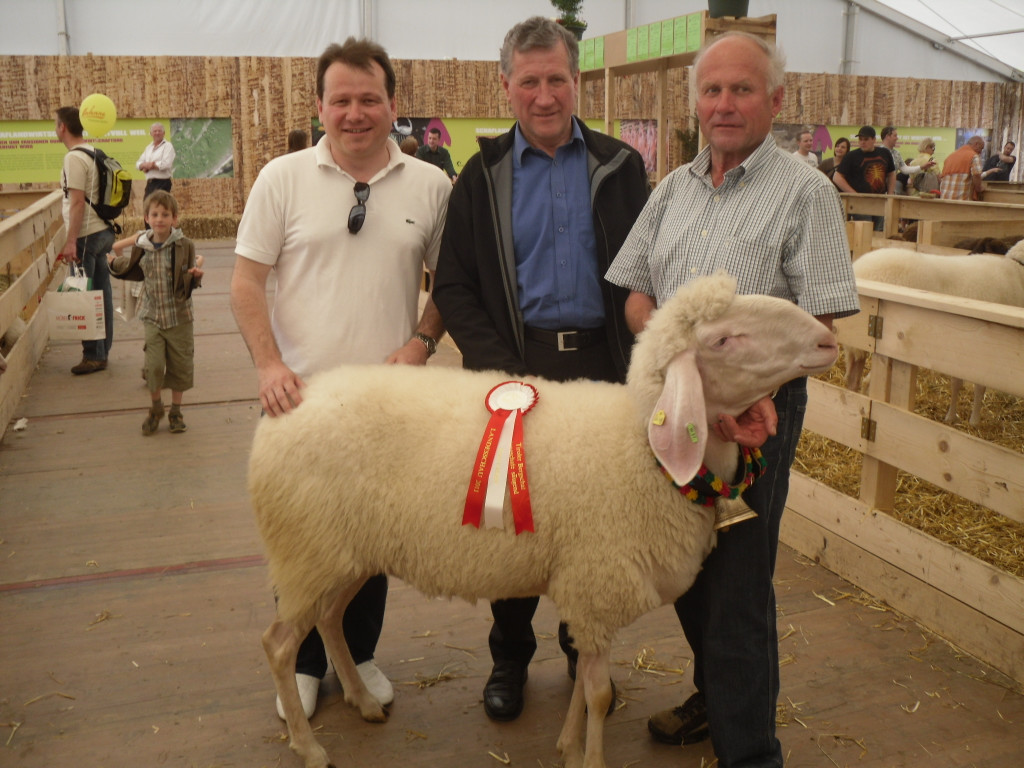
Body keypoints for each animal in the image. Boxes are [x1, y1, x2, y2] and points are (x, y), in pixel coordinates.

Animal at [248, 273, 840, 768]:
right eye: (723, 341)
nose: (827, 339)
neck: (640, 444)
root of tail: (284, 411)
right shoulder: (597, 583)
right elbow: (597, 693)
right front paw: (592, 760)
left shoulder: (584, 591)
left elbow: (584, 683)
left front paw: (568, 746)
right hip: (308, 551)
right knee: (278, 644)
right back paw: (309, 746)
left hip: (340, 553)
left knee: (329, 620)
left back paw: (363, 700)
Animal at [845, 244, 1024, 425]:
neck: (1016, 270)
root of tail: (859, 268)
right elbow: (980, 386)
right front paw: (974, 421)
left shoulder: (960, 350)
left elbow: (956, 382)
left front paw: (951, 417)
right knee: (867, 382)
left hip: (856, 343)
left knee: (853, 376)